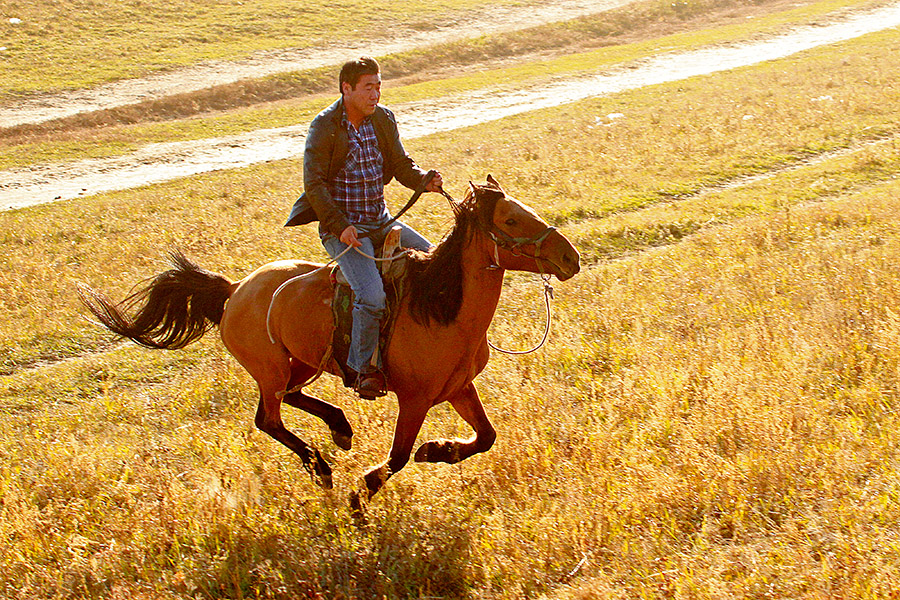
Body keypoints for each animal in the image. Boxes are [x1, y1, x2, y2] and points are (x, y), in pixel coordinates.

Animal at [81, 176, 580, 504]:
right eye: (511, 219)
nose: (569, 257)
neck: (440, 307)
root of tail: (233, 290)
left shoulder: (458, 388)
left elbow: (486, 437)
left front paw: (438, 451)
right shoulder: (415, 399)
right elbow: (398, 457)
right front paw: (362, 496)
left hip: (301, 362)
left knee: (292, 399)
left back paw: (339, 428)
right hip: (269, 368)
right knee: (268, 419)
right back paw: (321, 466)